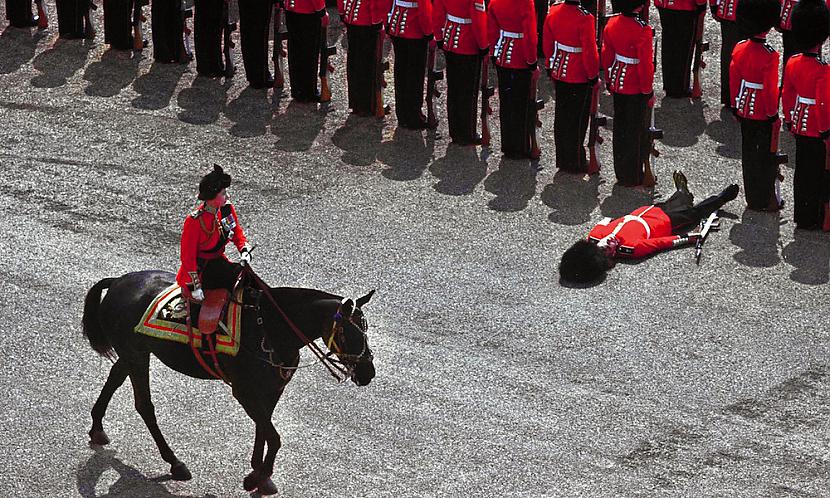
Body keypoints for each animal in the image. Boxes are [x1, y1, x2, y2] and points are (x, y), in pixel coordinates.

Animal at [80, 270, 374, 496]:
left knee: (115, 378)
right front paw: (256, 477)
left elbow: (264, 429)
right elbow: (274, 437)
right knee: (144, 405)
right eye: (348, 333)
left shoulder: (271, 390)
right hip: (137, 356)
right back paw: (175, 462)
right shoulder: (244, 391)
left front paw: (259, 473)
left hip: (132, 354)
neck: (270, 328)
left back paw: (97, 427)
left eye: (366, 329)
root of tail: (117, 281)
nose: (368, 373)